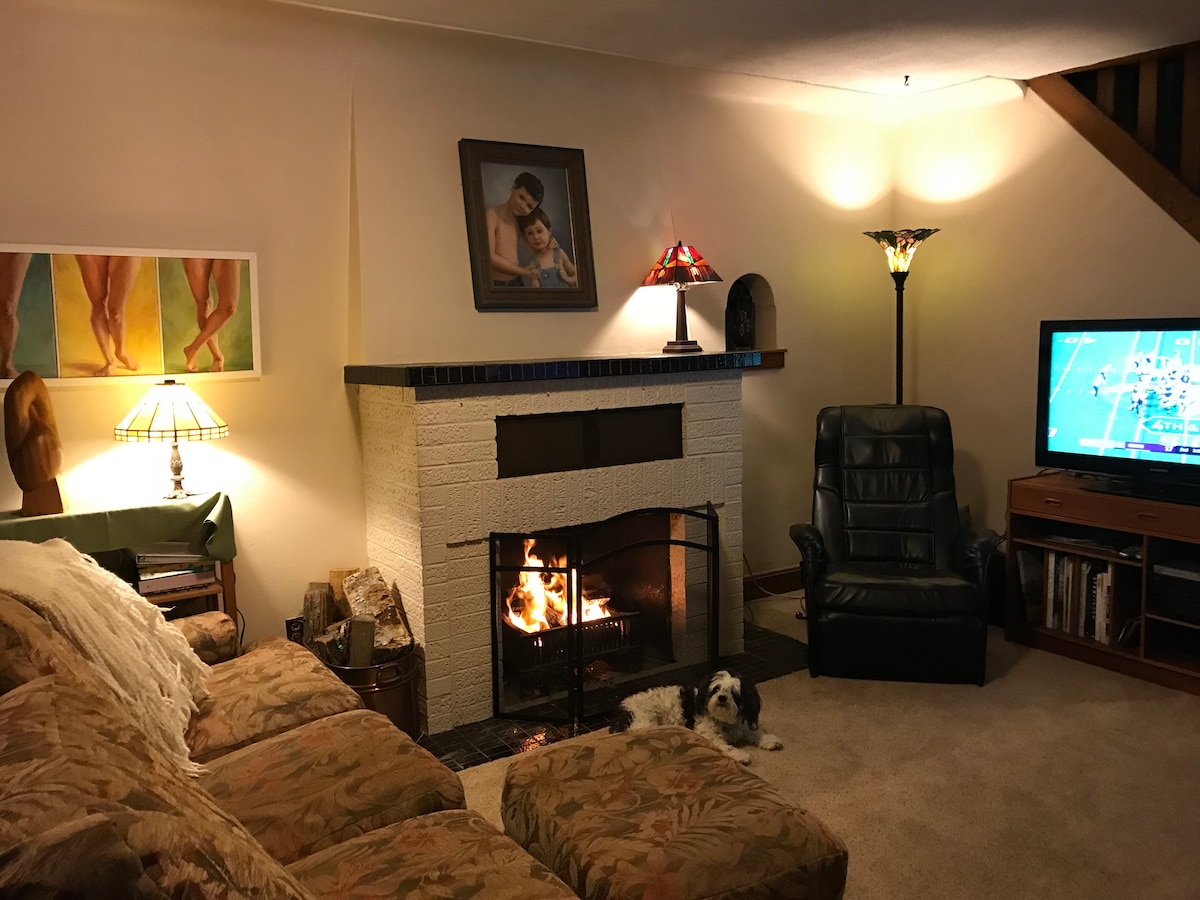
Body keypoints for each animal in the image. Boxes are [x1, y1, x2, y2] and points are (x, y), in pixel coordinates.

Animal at [609, 669, 783, 764]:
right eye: (716, 689)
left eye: (734, 693)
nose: (722, 697)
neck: (724, 720)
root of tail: (621, 709)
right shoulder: (710, 736)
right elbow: (725, 746)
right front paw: (740, 755)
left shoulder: (741, 727)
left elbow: (754, 733)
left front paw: (769, 740)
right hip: (645, 722)